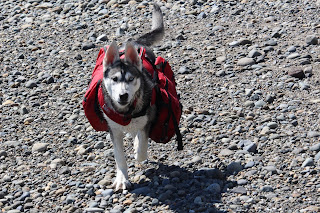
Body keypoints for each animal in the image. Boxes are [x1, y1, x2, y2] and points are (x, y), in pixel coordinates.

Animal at [101, 2, 164, 190]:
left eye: (130, 79)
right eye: (115, 79)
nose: (123, 95)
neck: (126, 112)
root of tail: (134, 42)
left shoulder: (148, 116)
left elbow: (142, 145)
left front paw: (138, 151)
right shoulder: (114, 130)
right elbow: (119, 157)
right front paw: (122, 178)